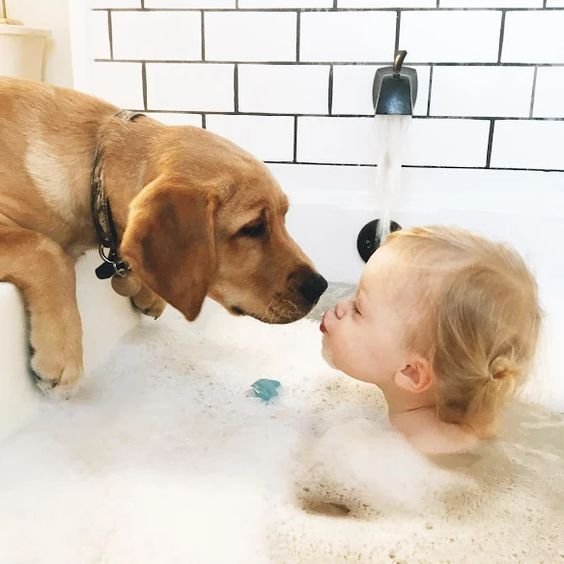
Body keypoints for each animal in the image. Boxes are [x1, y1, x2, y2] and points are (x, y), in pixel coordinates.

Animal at [0, 78, 326, 396]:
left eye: (283, 216)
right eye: (253, 227)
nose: (319, 287)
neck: (95, 168)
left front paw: (146, 292)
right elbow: (46, 249)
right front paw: (61, 356)